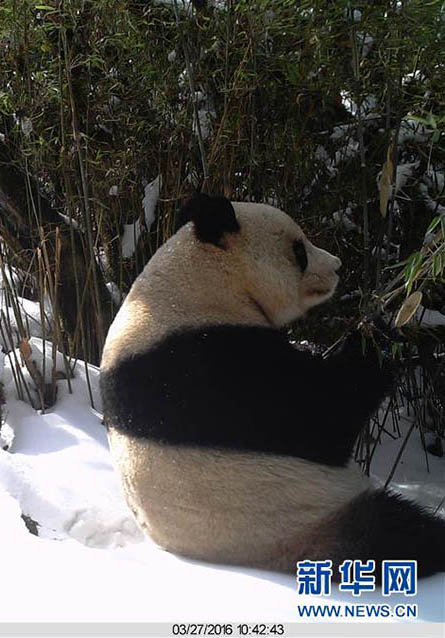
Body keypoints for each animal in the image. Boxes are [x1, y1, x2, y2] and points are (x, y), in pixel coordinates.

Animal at [100, 195, 444, 580]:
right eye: (299, 250)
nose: (337, 266)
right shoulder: (206, 362)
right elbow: (321, 417)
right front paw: (386, 325)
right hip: (301, 519)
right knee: (399, 533)